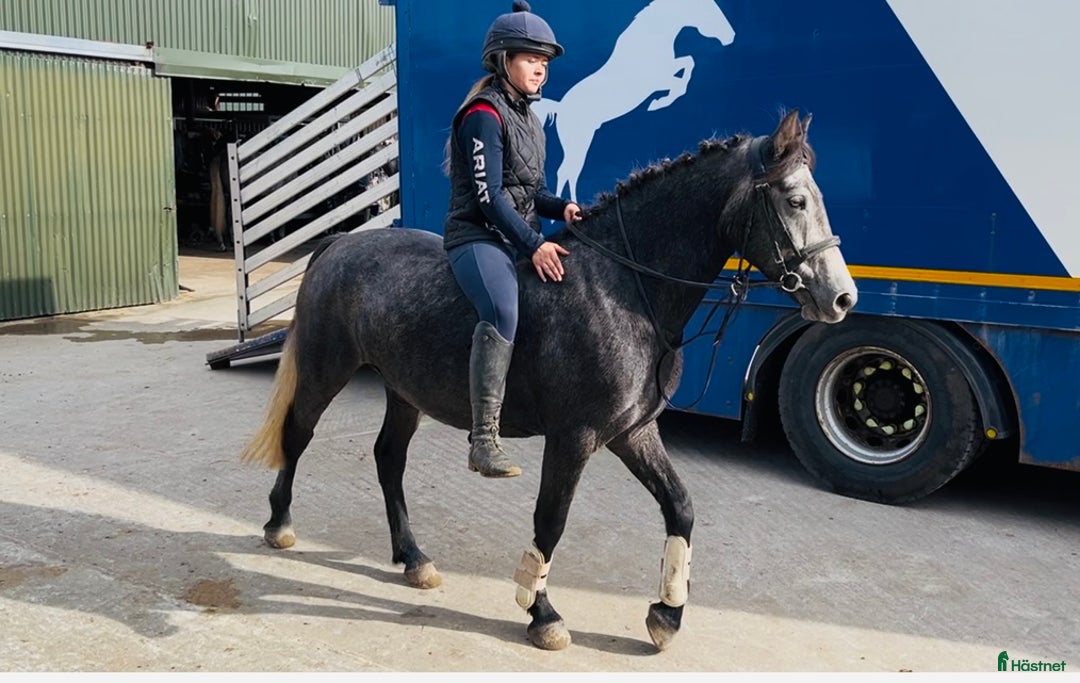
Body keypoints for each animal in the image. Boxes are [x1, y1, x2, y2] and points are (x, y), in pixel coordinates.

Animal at [240, 110, 857, 651]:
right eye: (795, 200)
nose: (841, 298)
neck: (624, 289)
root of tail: (341, 243)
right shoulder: (574, 437)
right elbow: (551, 519)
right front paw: (542, 615)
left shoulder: (633, 432)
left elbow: (679, 506)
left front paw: (667, 615)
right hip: (326, 370)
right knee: (298, 436)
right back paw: (280, 524)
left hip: (405, 391)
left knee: (389, 459)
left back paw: (414, 559)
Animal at [532, 0, 736, 201]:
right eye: (709, 9)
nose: (731, 36)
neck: (646, 43)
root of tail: (561, 107)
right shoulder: (658, 80)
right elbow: (682, 77)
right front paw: (659, 102)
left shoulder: (667, 71)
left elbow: (688, 62)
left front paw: (660, 101)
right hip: (578, 140)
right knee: (566, 171)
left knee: (569, 171)